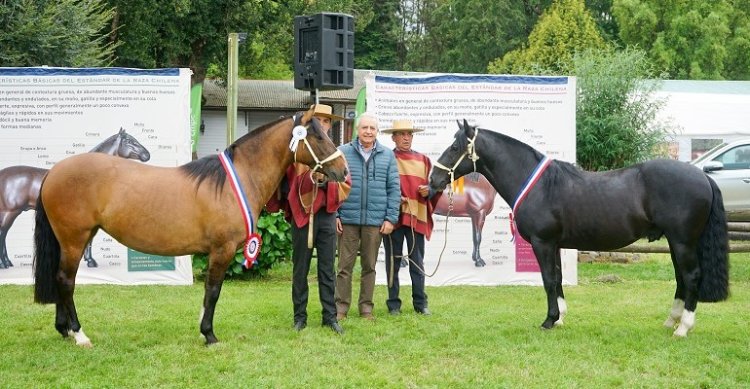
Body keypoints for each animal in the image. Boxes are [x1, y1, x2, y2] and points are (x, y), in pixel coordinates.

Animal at [0, 129, 151, 268]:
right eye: (129, 141)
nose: (147, 155)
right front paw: (90, 261)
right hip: (10, 212)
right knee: (3, 233)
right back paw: (5, 263)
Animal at [33, 108, 350, 346]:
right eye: (318, 136)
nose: (343, 171)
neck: (233, 181)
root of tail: (54, 172)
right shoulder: (221, 251)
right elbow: (213, 291)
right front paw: (209, 334)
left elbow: (209, 292)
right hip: (74, 239)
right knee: (66, 280)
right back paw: (79, 334)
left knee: (61, 279)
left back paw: (64, 330)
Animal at [432, 121, 732, 336]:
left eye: (455, 147)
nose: (434, 179)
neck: (541, 186)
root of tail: (702, 176)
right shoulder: (553, 245)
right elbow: (557, 278)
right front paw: (560, 318)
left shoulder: (542, 243)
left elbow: (548, 280)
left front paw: (549, 321)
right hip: (674, 242)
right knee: (681, 278)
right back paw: (671, 321)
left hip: (683, 242)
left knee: (691, 277)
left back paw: (683, 328)